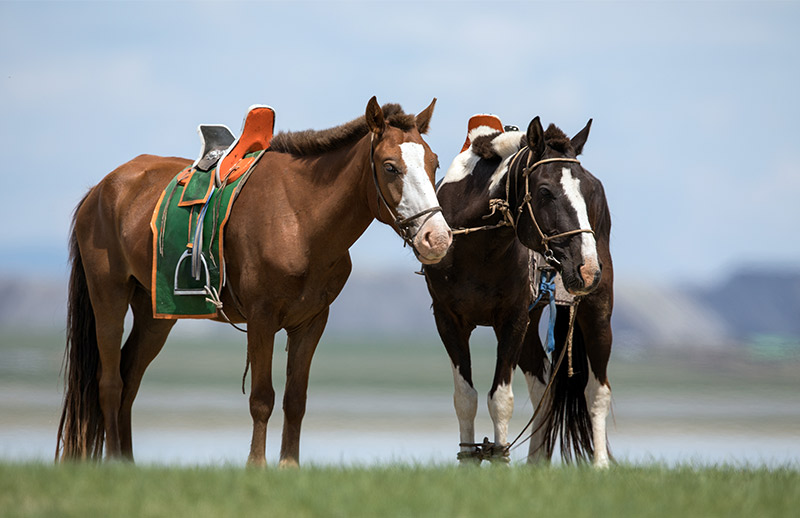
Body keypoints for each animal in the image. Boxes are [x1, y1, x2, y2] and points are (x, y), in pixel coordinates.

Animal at [54, 96, 456, 468]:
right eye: (390, 166)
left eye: (434, 163)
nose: (437, 238)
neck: (299, 218)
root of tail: (101, 189)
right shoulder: (262, 320)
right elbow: (262, 398)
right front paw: (257, 466)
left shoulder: (311, 322)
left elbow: (296, 399)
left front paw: (289, 466)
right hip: (109, 297)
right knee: (110, 384)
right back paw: (114, 464)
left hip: (156, 315)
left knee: (129, 380)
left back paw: (127, 462)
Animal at [424, 116, 612, 470]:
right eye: (545, 190)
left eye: (588, 189)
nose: (587, 269)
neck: (476, 247)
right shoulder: (449, 320)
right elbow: (465, 397)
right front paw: (468, 459)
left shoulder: (511, 321)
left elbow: (500, 398)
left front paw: (499, 459)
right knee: (543, 388)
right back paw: (537, 462)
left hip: (597, 310)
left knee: (597, 391)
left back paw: (600, 466)